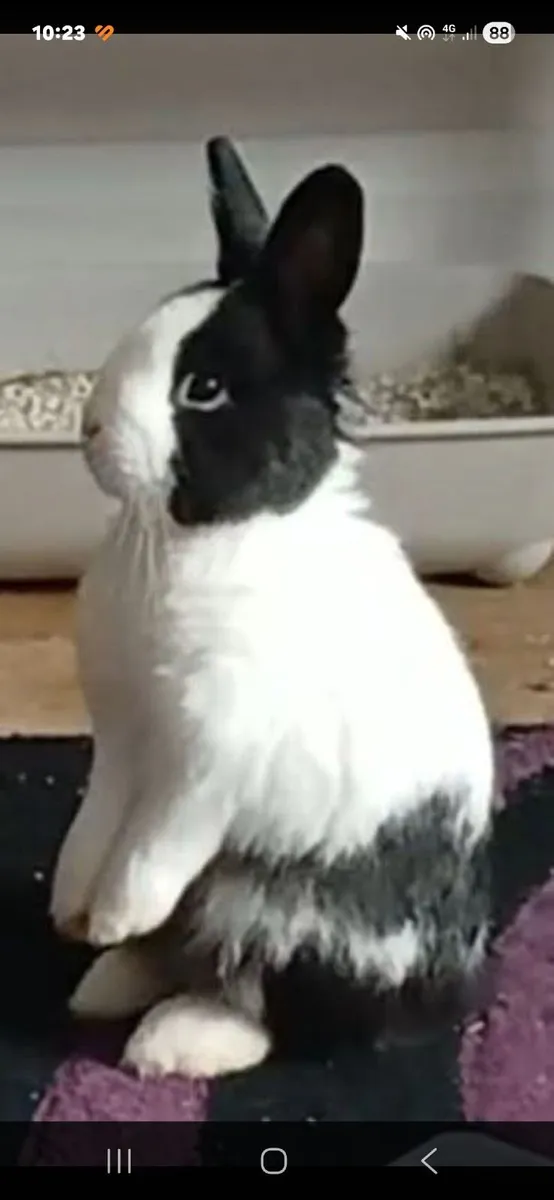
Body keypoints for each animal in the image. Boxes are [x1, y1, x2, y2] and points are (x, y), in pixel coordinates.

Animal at [50, 138, 495, 1080]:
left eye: (205, 389)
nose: (89, 431)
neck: (212, 536)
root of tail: (445, 996)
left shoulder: (209, 757)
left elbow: (156, 842)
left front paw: (114, 913)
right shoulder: (121, 739)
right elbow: (95, 826)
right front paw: (77, 912)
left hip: (283, 913)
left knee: (274, 1006)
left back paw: (173, 1041)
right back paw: (106, 981)